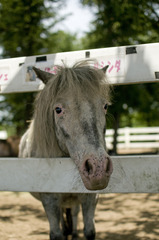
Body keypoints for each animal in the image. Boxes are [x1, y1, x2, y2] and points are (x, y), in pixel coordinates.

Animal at [19, 61, 113, 239]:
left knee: (74, 213)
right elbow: (56, 234)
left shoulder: (90, 198)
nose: (98, 170)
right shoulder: (50, 201)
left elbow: (89, 231)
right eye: (58, 110)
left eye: (105, 106)